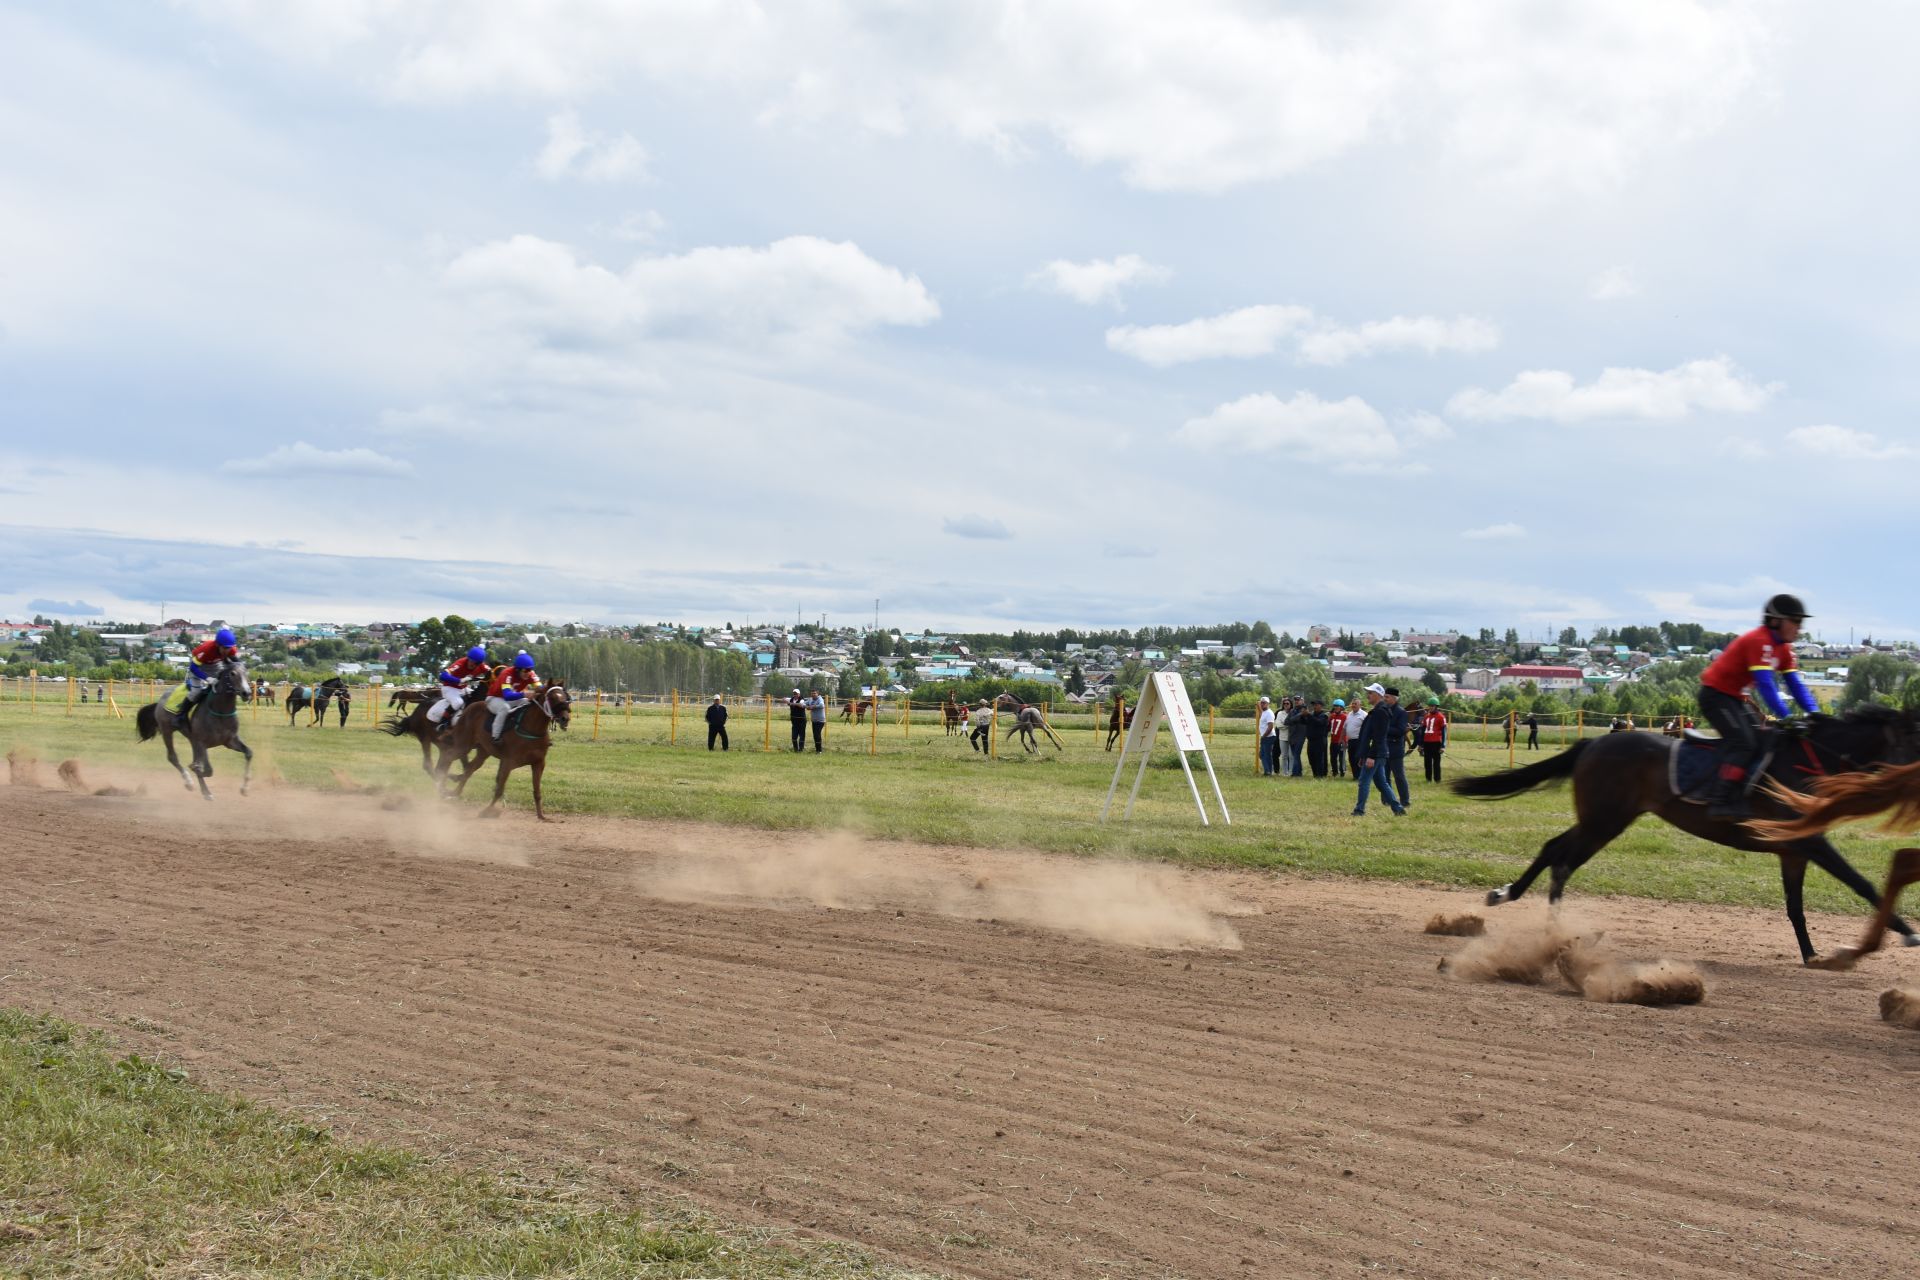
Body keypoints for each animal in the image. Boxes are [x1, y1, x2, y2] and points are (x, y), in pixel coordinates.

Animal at [437, 679, 572, 821]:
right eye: (552, 697)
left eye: (565, 697)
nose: (565, 718)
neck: (531, 729)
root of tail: (469, 708)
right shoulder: (508, 762)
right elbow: (499, 788)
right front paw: (487, 810)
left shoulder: (538, 763)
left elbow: (537, 791)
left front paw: (541, 815)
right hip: (463, 745)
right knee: (448, 756)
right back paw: (440, 781)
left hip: (483, 751)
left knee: (469, 768)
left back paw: (454, 791)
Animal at [1451, 706, 1920, 967]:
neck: (1810, 762)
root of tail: (1593, 744)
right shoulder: (1810, 842)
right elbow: (1861, 882)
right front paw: (1907, 932)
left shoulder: (1794, 851)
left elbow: (1796, 908)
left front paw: (1811, 955)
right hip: (1606, 820)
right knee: (1562, 858)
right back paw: (1543, 923)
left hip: (1604, 818)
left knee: (1555, 851)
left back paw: (1519, 903)